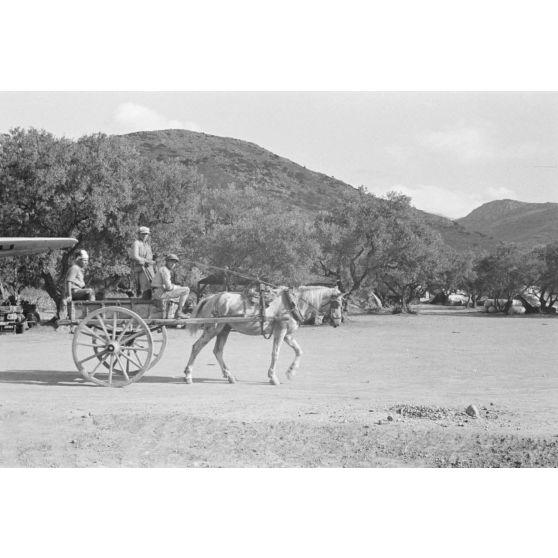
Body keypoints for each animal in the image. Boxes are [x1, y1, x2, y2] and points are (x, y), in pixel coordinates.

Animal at [184, 286, 344, 388]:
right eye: (337, 304)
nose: (337, 322)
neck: (292, 303)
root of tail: (212, 297)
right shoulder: (281, 330)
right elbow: (275, 353)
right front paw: (273, 378)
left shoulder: (288, 334)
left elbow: (299, 351)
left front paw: (290, 372)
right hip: (214, 328)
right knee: (197, 347)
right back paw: (188, 376)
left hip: (224, 329)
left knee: (218, 351)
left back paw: (230, 376)